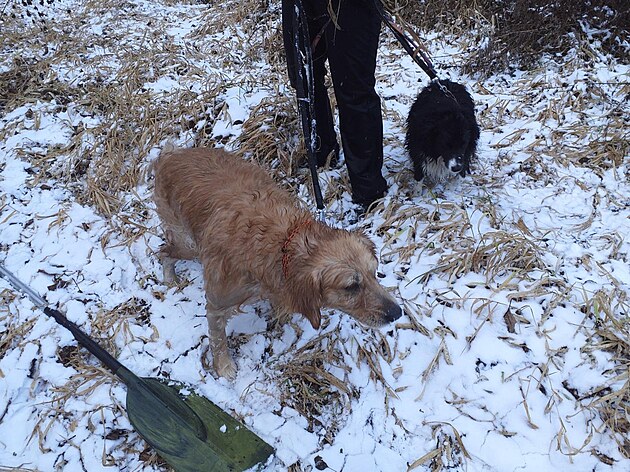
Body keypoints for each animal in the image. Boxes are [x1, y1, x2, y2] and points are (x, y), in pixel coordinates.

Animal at [152, 147, 402, 379]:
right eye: (350, 287)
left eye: (374, 273)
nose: (397, 313)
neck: (283, 242)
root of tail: (171, 155)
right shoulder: (217, 302)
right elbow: (217, 338)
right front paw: (223, 366)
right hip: (189, 245)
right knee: (164, 251)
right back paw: (170, 278)